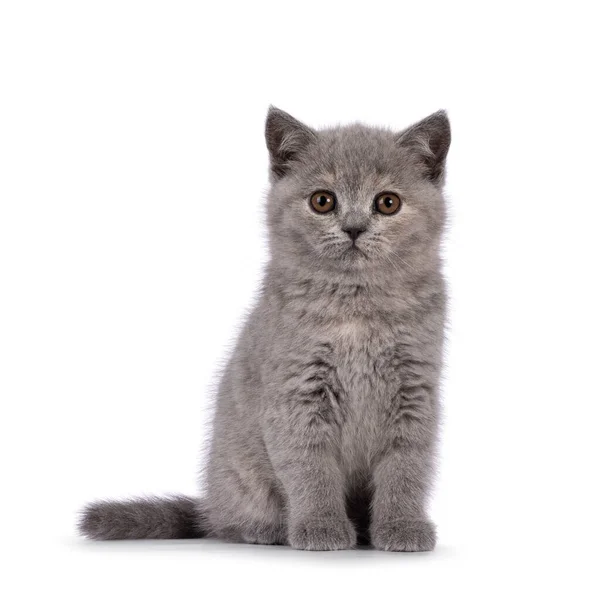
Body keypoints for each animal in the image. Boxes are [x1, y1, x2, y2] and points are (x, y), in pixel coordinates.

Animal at [78, 105, 450, 552]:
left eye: (388, 202)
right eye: (323, 201)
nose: (354, 228)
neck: (356, 307)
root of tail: (209, 505)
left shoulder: (414, 391)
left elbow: (406, 468)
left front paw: (402, 526)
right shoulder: (297, 393)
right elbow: (309, 468)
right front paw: (321, 527)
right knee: (227, 522)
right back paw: (266, 530)